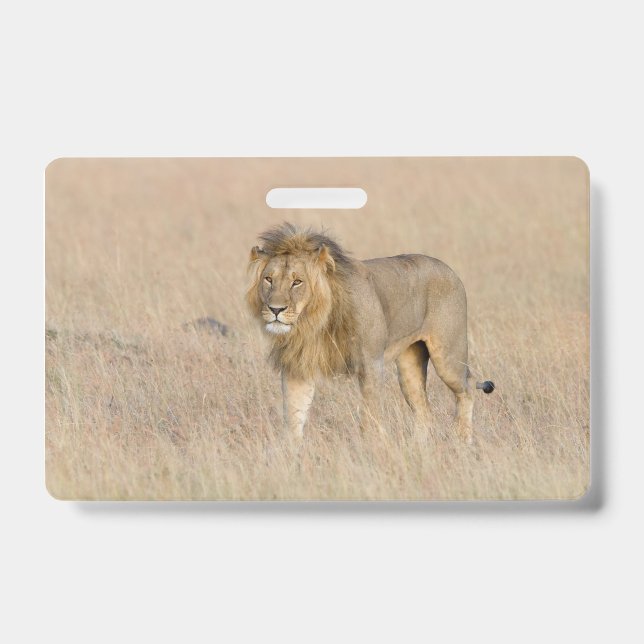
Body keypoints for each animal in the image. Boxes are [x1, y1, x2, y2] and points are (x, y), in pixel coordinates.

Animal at [246, 223, 494, 442]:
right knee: (424, 412)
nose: (275, 309)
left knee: (467, 387)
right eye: (268, 279)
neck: (313, 322)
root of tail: (448, 269)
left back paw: (463, 440)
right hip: (409, 366)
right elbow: (294, 416)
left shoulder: (371, 363)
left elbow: (370, 416)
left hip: (448, 356)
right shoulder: (297, 366)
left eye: (297, 282)